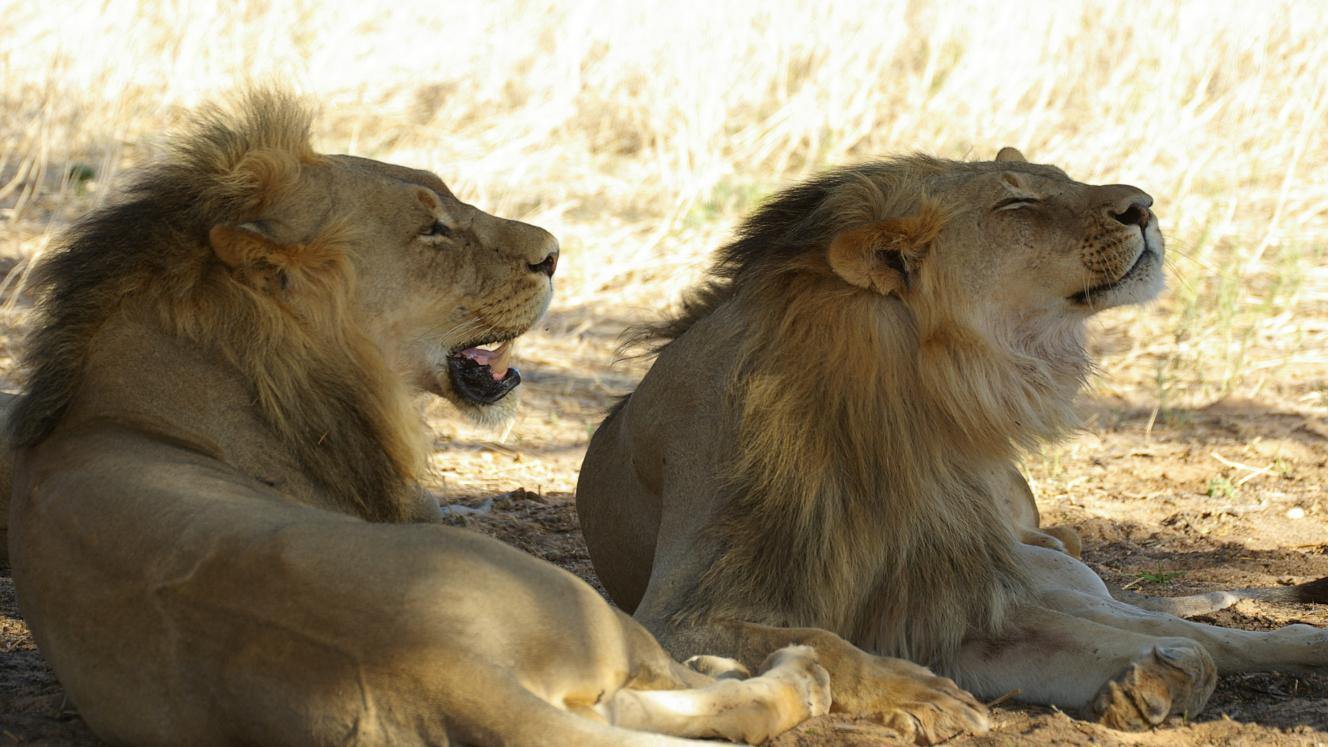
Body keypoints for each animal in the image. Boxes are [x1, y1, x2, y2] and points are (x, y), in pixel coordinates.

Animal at [5, 90, 833, 746]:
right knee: (702, 687)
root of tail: (437, 667)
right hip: (574, 598)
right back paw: (795, 672)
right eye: (434, 230)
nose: (555, 254)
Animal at [576, 146, 1328, 739]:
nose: (1143, 206)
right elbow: (822, 639)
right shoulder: (674, 617)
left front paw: (1145, 683)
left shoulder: (953, 604)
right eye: (1018, 203)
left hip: (1038, 576)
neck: (903, 397)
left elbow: (1185, 650)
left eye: (1061, 178)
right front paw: (922, 695)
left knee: (1190, 632)